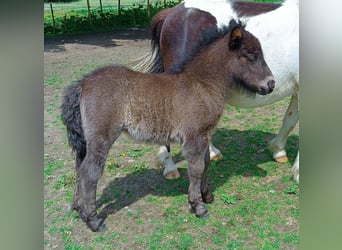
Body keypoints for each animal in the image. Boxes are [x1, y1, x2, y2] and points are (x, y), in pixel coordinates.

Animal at [134, 0, 300, 184]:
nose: (270, 84)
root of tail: (173, 12)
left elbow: (290, 120)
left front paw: (278, 150)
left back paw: (212, 153)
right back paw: (170, 166)